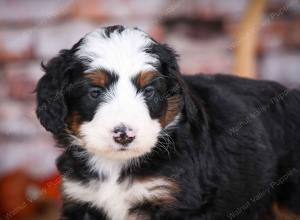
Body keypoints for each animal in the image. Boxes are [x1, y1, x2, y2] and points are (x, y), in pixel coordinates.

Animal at [36, 24, 300, 219]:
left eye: (149, 91)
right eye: (95, 92)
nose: (124, 135)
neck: (116, 166)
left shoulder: (175, 201)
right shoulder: (82, 199)